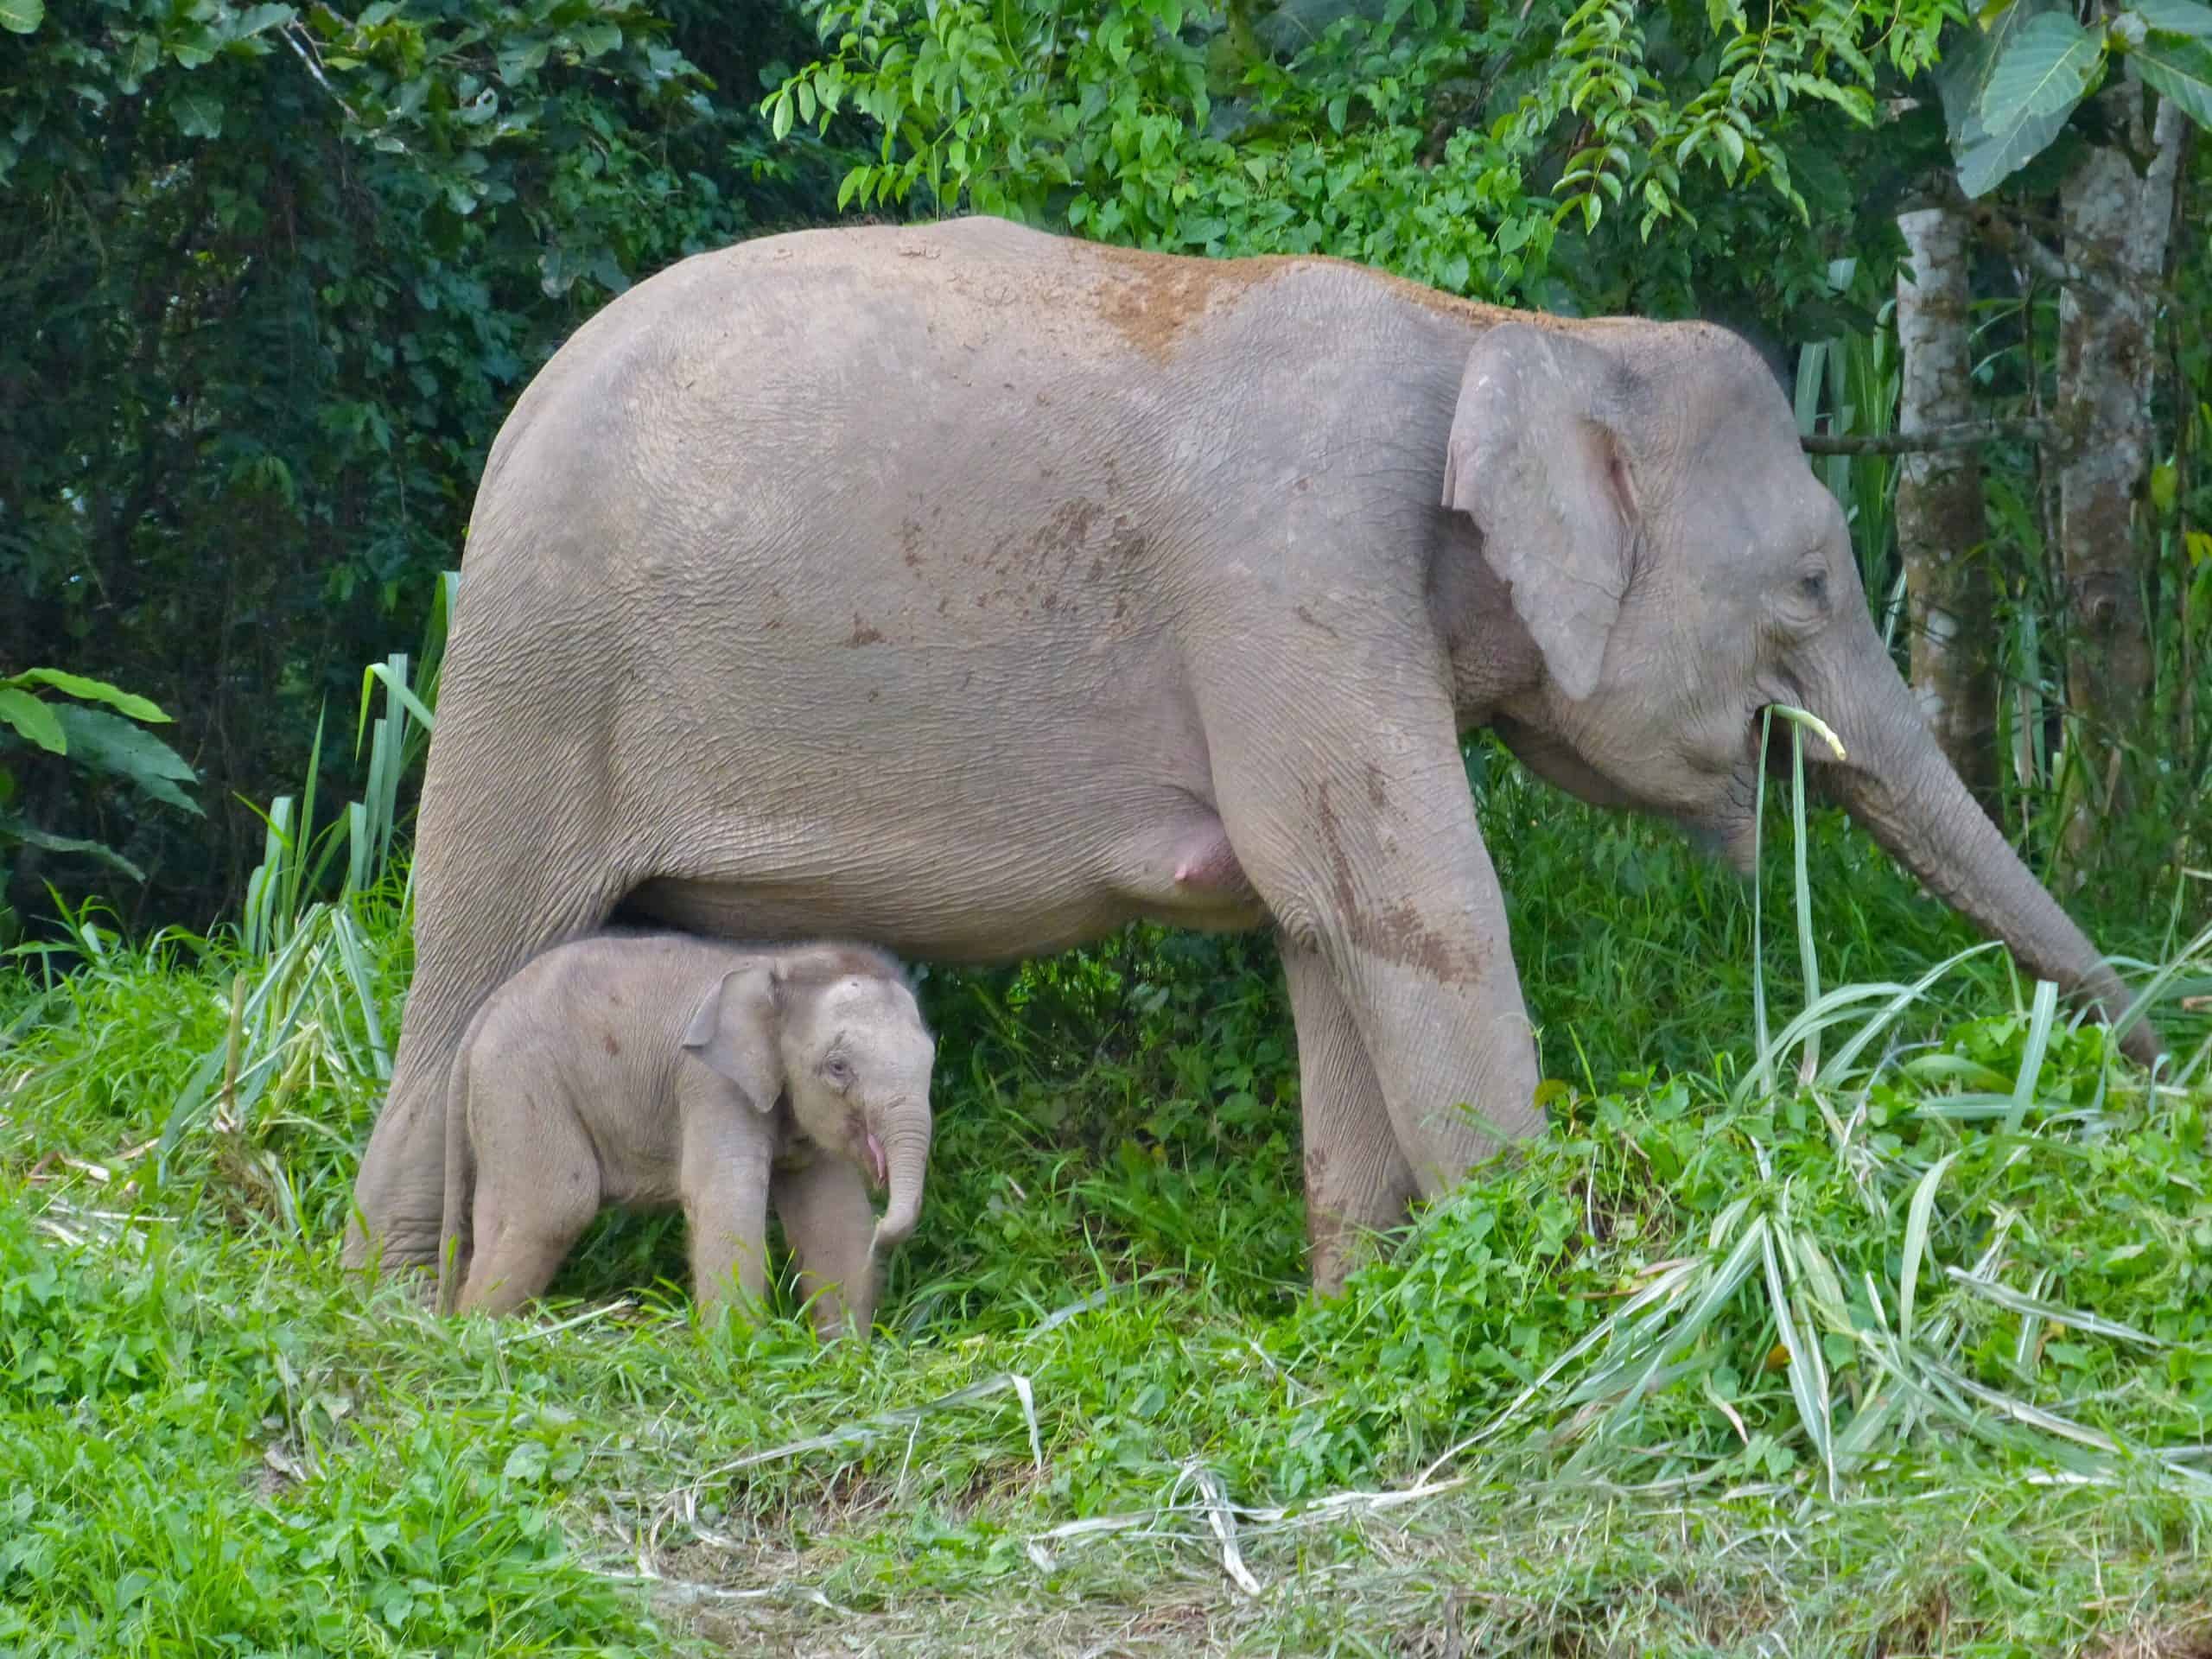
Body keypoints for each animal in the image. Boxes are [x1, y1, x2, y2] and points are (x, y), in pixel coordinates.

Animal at [434, 932, 936, 1332]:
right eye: (838, 1067)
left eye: (932, 1057)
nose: (885, 1229)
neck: (782, 963)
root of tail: (482, 1016)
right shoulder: (710, 1084)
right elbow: (724, 1197)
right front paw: (738, 1351)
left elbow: (833, 1214)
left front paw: (847, 1353)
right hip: (520, 1085)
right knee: (551, 1208)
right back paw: (475, 1335)